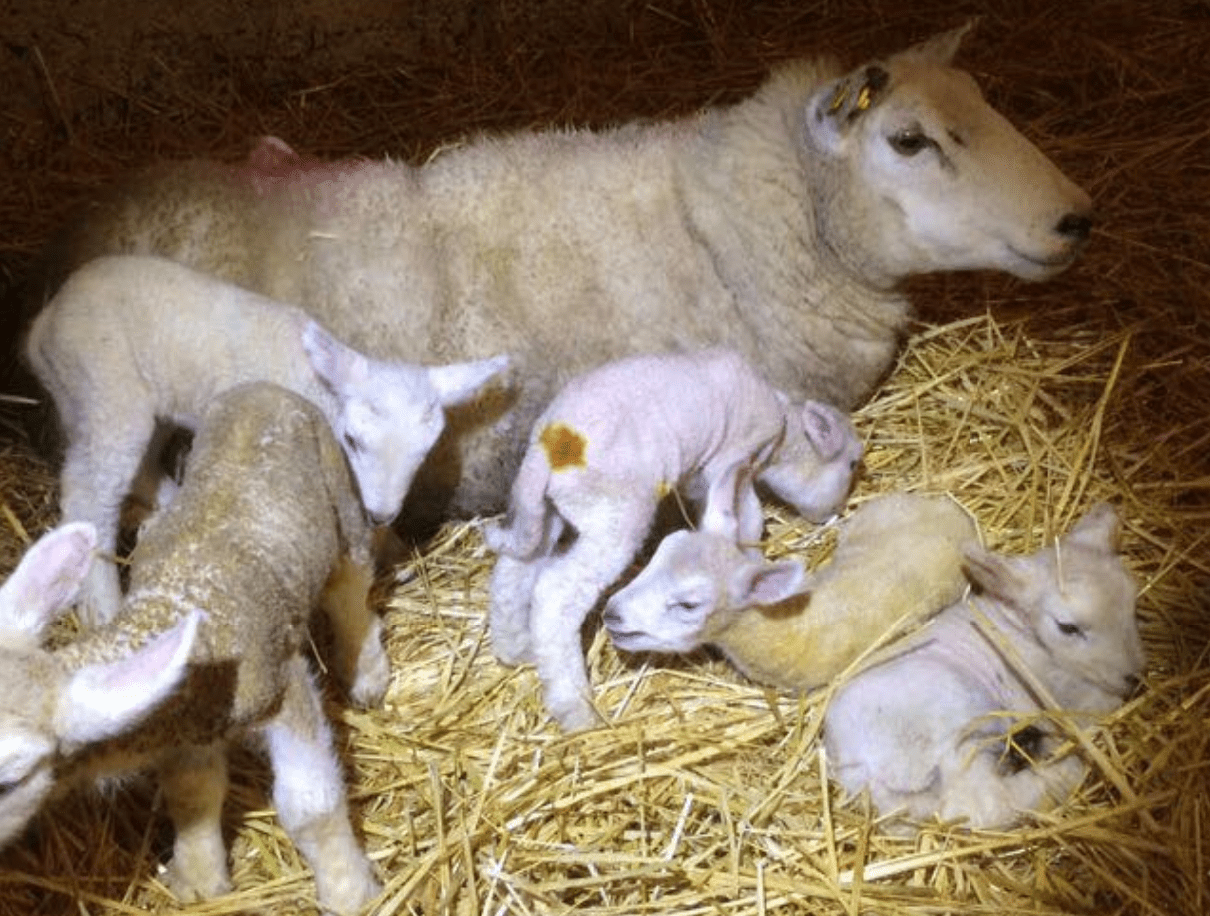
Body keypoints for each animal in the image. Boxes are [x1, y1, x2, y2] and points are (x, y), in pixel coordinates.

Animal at [0, 382, 387, 914]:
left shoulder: (283, 687)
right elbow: (192, 793)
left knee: (352, 584)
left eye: (9, 779)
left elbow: (310, 805)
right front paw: (201, 878)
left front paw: (350, 891)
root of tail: (262, 388)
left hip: (339, 492)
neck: (167, 611)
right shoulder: (184, 724)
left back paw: (366, 672)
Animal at [25, 253, 510, 625]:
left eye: (424, 452)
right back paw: (103, 605)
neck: (318, 389)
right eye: (353, 440)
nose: (383, 513)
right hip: (105, 386)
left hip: (106, 395)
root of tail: (43, 324)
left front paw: (394, 550)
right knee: (89, 491)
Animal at [483, 348, 862, 730]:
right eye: (850, 465)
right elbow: (750, 516)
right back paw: (575, 708)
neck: (783, 433)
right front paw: (753, 564)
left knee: (514, 571)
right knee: (556, 592)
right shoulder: (732, 455)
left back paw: (515, 647)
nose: (834, 511)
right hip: (615, 516)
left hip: (545, 510)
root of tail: (550, 447)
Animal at [823, 502, 1145, 831]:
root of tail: (858, 764)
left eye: (1132, 604)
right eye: (1067, 627)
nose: (1134, 677)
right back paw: (1061, 774)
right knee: (981, 804)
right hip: (958, 720)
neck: (1017, 631)